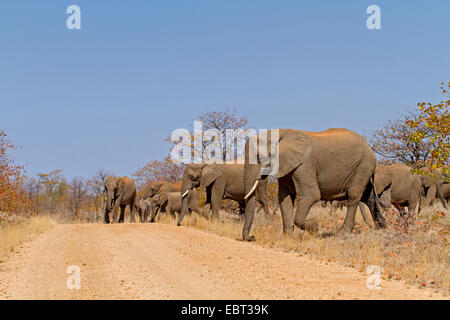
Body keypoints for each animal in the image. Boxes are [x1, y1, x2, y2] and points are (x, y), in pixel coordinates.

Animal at [243, 129, 384, 241]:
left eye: (258, 157)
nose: (252, 237)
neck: (281, 133)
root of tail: (369, 147)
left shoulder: (305, 165)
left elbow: (311, 195)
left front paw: (315, 227)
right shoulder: (286, 167)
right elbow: (285, 199)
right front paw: (287, 238)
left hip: (363, 166)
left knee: (354, 196)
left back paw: (342, 233)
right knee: (369, 198)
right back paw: (382, 228)